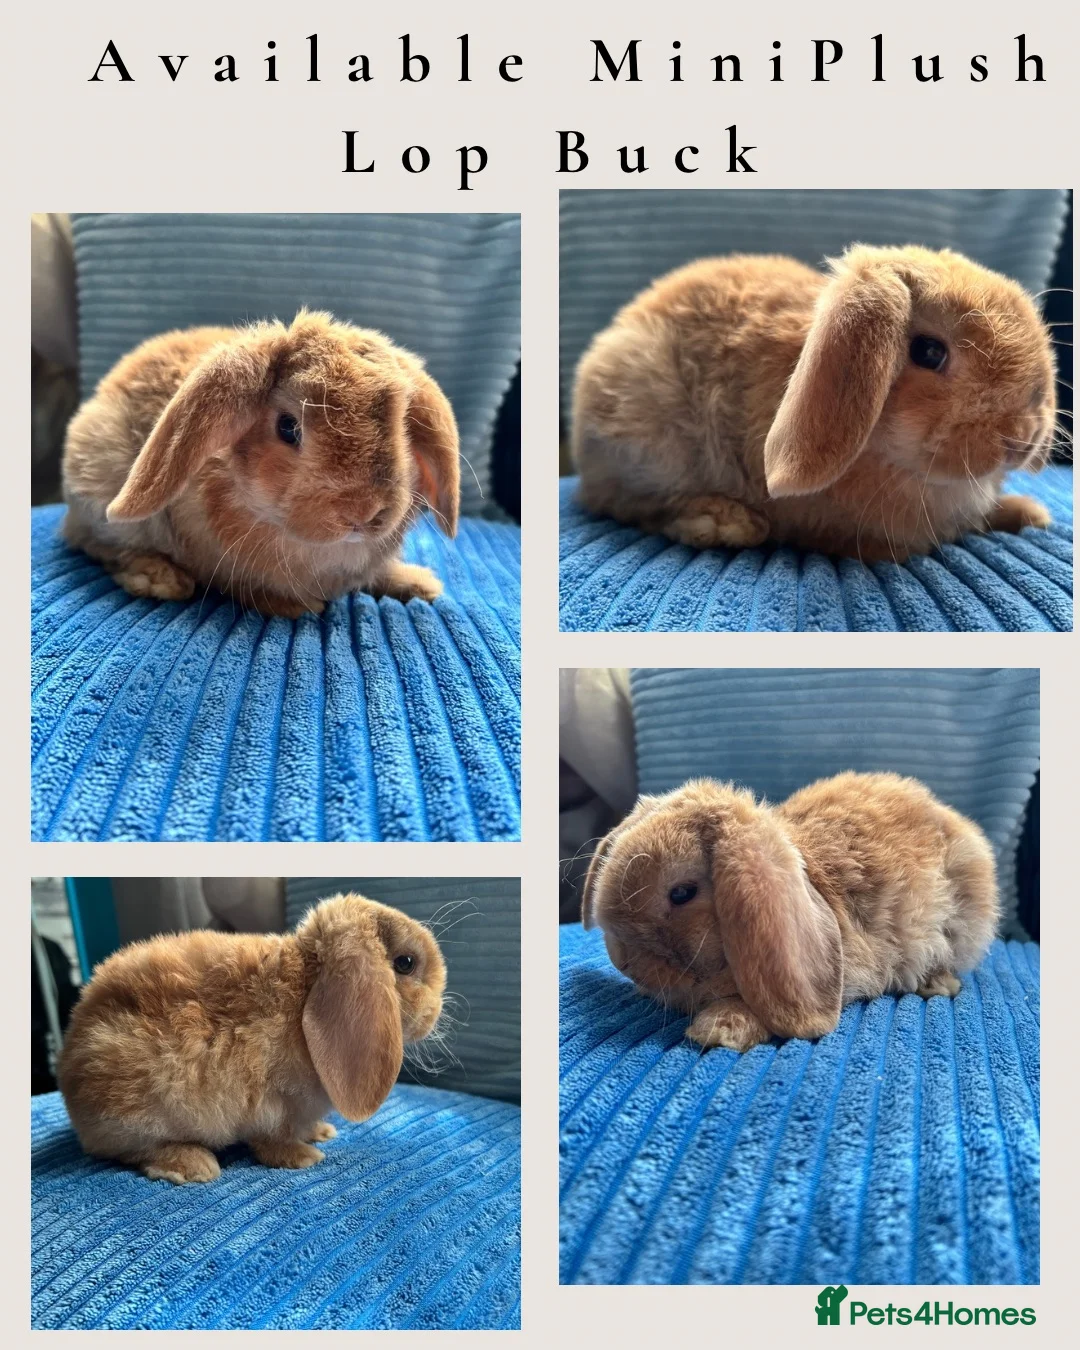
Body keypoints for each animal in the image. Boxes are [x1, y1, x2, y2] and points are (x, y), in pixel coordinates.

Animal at [56, 893, 446, 1183]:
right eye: (406, 963)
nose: (436, 1012)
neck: (307, 983)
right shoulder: (271, 1103)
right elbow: (273, 1139)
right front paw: (305, 1157)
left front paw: (319, 1132)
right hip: (136, 1111)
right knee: (136, 1151)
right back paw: (195, 1167)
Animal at [61, 310, 461, 618]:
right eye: (288, 427)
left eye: (402, 425)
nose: (362, 512)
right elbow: (246, 589)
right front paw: (296, 607)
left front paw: (420, 585)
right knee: (96, 545)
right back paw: (160, 578)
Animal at [572, 245, 1058, 562]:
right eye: (928, 352)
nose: (1023, 436)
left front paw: (1031, 514)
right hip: (647, 439)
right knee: (626, 504)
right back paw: (724, 523)